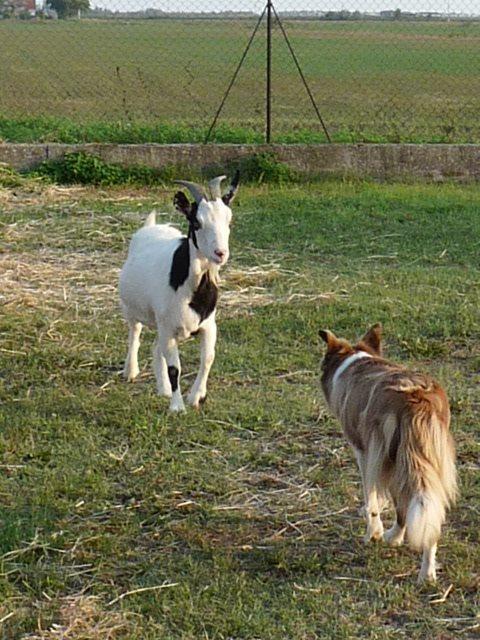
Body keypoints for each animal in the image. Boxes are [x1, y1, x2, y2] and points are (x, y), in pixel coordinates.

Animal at [118, 172, 238, 412]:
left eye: (229, 220)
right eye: (197, 222)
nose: (220, 253)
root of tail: (152, 227)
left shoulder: (208, 325)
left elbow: (208, 358)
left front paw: (196, 397)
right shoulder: (169, 328)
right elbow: (175, 368)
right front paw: (177, 407)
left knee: (156, 348)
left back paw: (163, 389)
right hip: (133, 310)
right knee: (135, 333)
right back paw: (131, 371)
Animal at [318, 322, 458, 584]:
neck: (354, 360)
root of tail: (416, 398)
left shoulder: (365, 453)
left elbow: (372, 499)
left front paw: (373, 532)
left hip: (394, 460)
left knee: (402, 503)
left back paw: (392, 537)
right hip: (431, 462)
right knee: (429, 515)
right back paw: (427, 573)